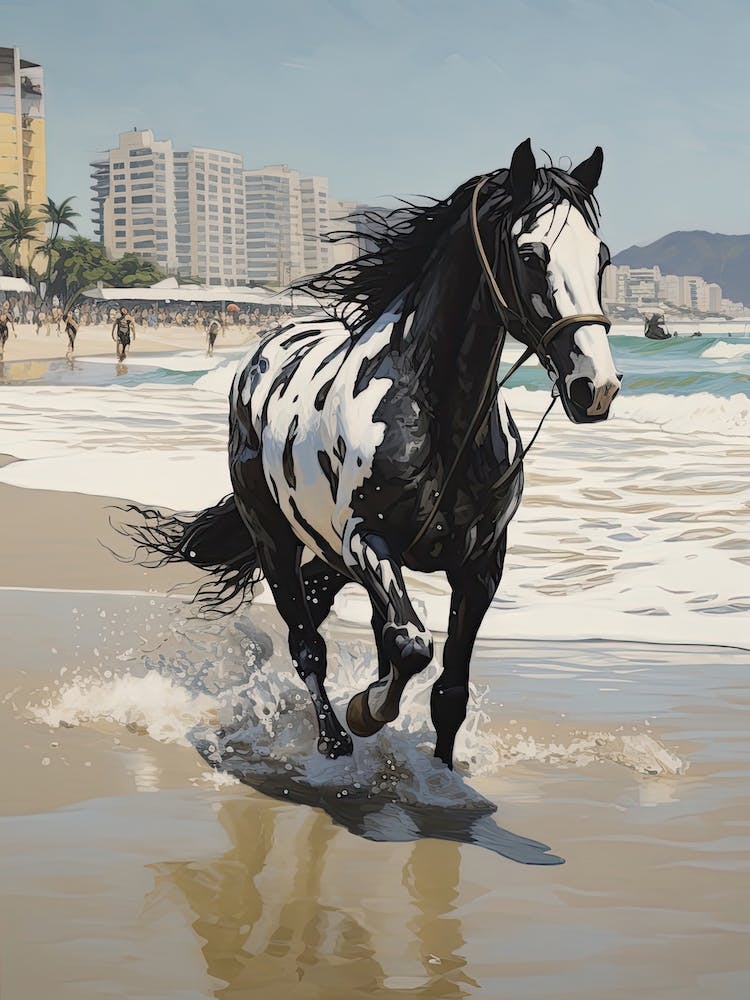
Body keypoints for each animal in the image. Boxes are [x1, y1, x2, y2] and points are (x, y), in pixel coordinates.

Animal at [127, 139, 621, 771]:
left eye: (601, 257)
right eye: (532, 254)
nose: (595, 386)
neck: (434, 414)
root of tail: (257, 358)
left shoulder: (481, 564)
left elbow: (447, 689)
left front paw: (439, 771)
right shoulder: (368, 539)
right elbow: (411, 644)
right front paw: (367, 710)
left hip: (333, 557)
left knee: (332, 611)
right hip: (275, 538)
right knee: (307, 640)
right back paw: (333, 738)